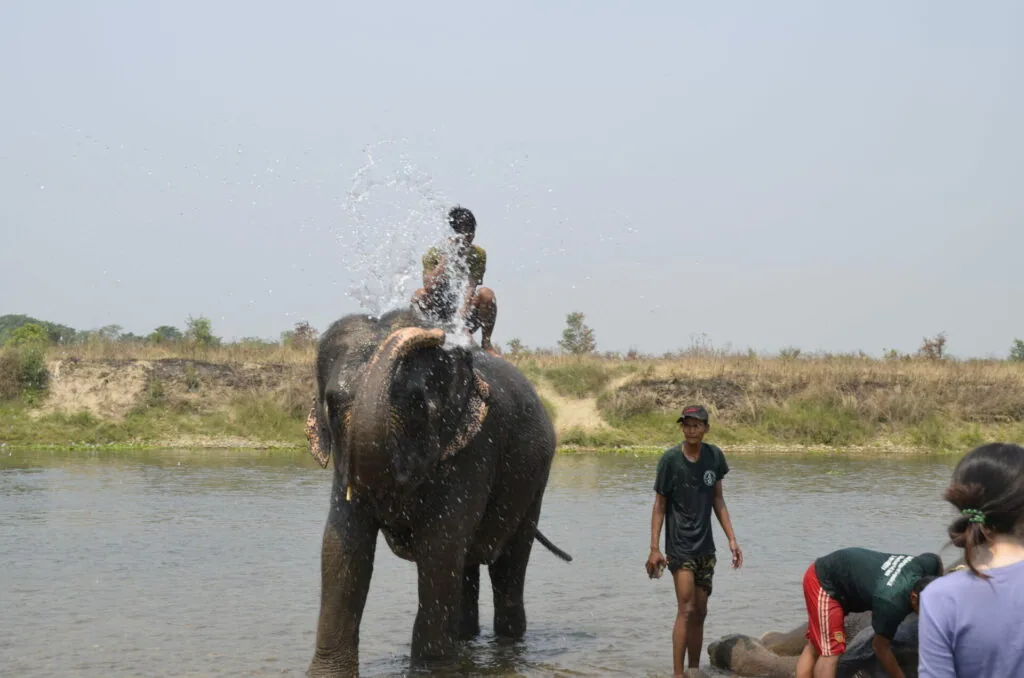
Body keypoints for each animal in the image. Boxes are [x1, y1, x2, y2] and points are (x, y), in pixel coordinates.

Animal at [304, 308, 572, 677]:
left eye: (418, 405)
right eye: (332, 403)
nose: (434, 333)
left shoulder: (474, 450)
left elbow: (439, 546)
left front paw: (429, 670)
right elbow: (342, 546)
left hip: (533, 484)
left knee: (508, 565)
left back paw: (507, 646)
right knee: (467, 569)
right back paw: (465, 638)